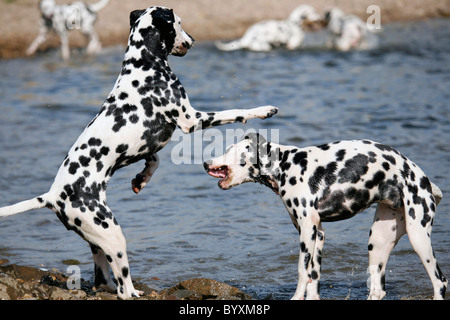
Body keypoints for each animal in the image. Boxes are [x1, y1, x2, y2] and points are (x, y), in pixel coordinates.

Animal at [0, 6, 278, 298]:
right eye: (179, 23)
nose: (192, 40)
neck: (143, 65)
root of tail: (53, 196)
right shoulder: (191, 120)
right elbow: (235, 112)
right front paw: (263, 110)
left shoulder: (149, 143)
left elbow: (154, 161)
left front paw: (141, 180)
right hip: (113, 235)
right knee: (123, 286)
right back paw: (133, 291)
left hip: (98, 241)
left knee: (103, 278)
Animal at [204, 134, 446, 298]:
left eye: (230, 149)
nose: (206, 163)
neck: (284, 165)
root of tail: (421, 177)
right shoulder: (317, 233)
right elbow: (313, 277)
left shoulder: (307, 230)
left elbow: (302, 272)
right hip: (378, 242)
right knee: (377, 290)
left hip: (418, 239)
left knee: (440, 282)